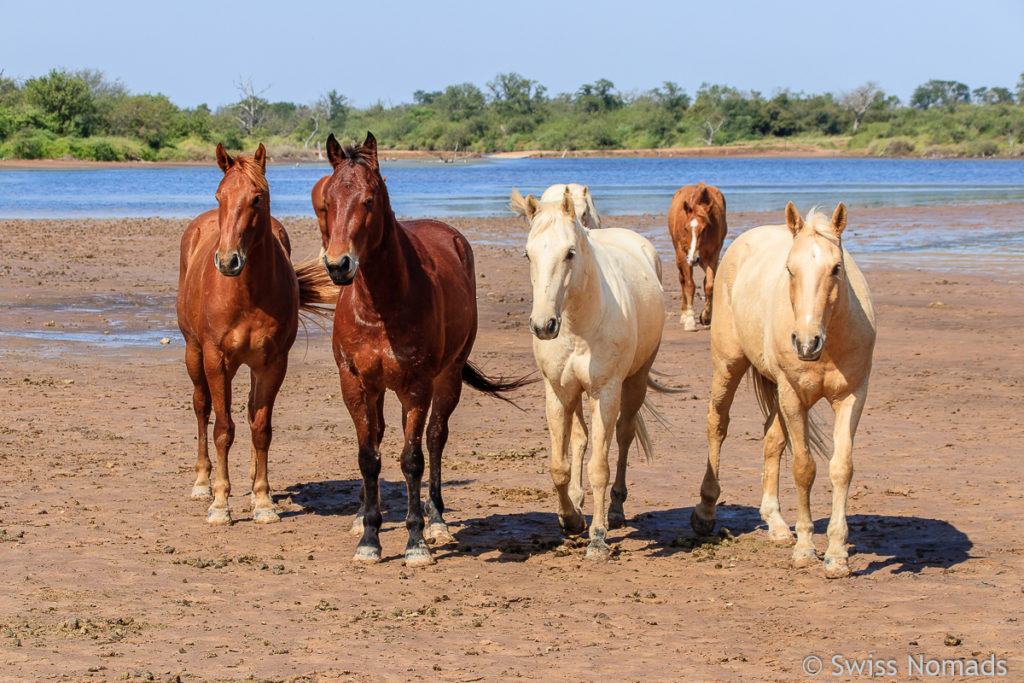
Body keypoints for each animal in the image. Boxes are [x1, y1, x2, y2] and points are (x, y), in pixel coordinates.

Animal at [176, 144, 335, 528]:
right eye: (219, 195)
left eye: (257, 198)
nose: (227, 261)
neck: (247, 293)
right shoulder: (216, 360)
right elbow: (223, 429)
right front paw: (220, 504)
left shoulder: (272, 363)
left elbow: (260, 427)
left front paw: (262, 500)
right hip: (194, 353)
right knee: (201, 407)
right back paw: (202, 483)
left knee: (250, 414)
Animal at [319, 132, 532, 565]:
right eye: (327, 201)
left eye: (369, 199)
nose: (338, 265)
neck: (380, 306)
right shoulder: (355, 384)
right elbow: (368, 457)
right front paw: (369, 538)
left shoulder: (416, 386)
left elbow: (412, 459)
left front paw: (416, 540)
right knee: (382, 437)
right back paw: (363, 516)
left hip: (446, 378)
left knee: (434, 438)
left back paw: (436, 522)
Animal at [524, 188, 667, 561]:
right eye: (528, 254)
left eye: (570, 253)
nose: (543, 325)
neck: (578, 325)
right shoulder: (558, 392)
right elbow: (559, 466)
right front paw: (571, 519)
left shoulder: (605, 392)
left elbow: (599, 467)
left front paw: (598, 538)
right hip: (576, 395)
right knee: (580, 439)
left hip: (634, 384)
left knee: (624, 436)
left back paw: (615, 510)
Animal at [663, 181, 729, 331]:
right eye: (686, 228)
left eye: (704, 228)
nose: (693, 259)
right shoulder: (684, 255)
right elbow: (689, 285)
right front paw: (690, 321)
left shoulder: (712, 256)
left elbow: (709, 285)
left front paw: (706, 317)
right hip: (680, 257)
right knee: (682, 280)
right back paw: (683, 314)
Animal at [692, 201, 876, 577]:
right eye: (790, 269)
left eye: (836, 268)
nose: (806, 343)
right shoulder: (793, 397)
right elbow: (804, 468)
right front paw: (806, 549)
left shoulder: (851, 397)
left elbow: (841, 467)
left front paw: (836, 554)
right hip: (729, 367)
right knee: (717, 425)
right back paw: (705, 511)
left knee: (772, 439)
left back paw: (776, 524)